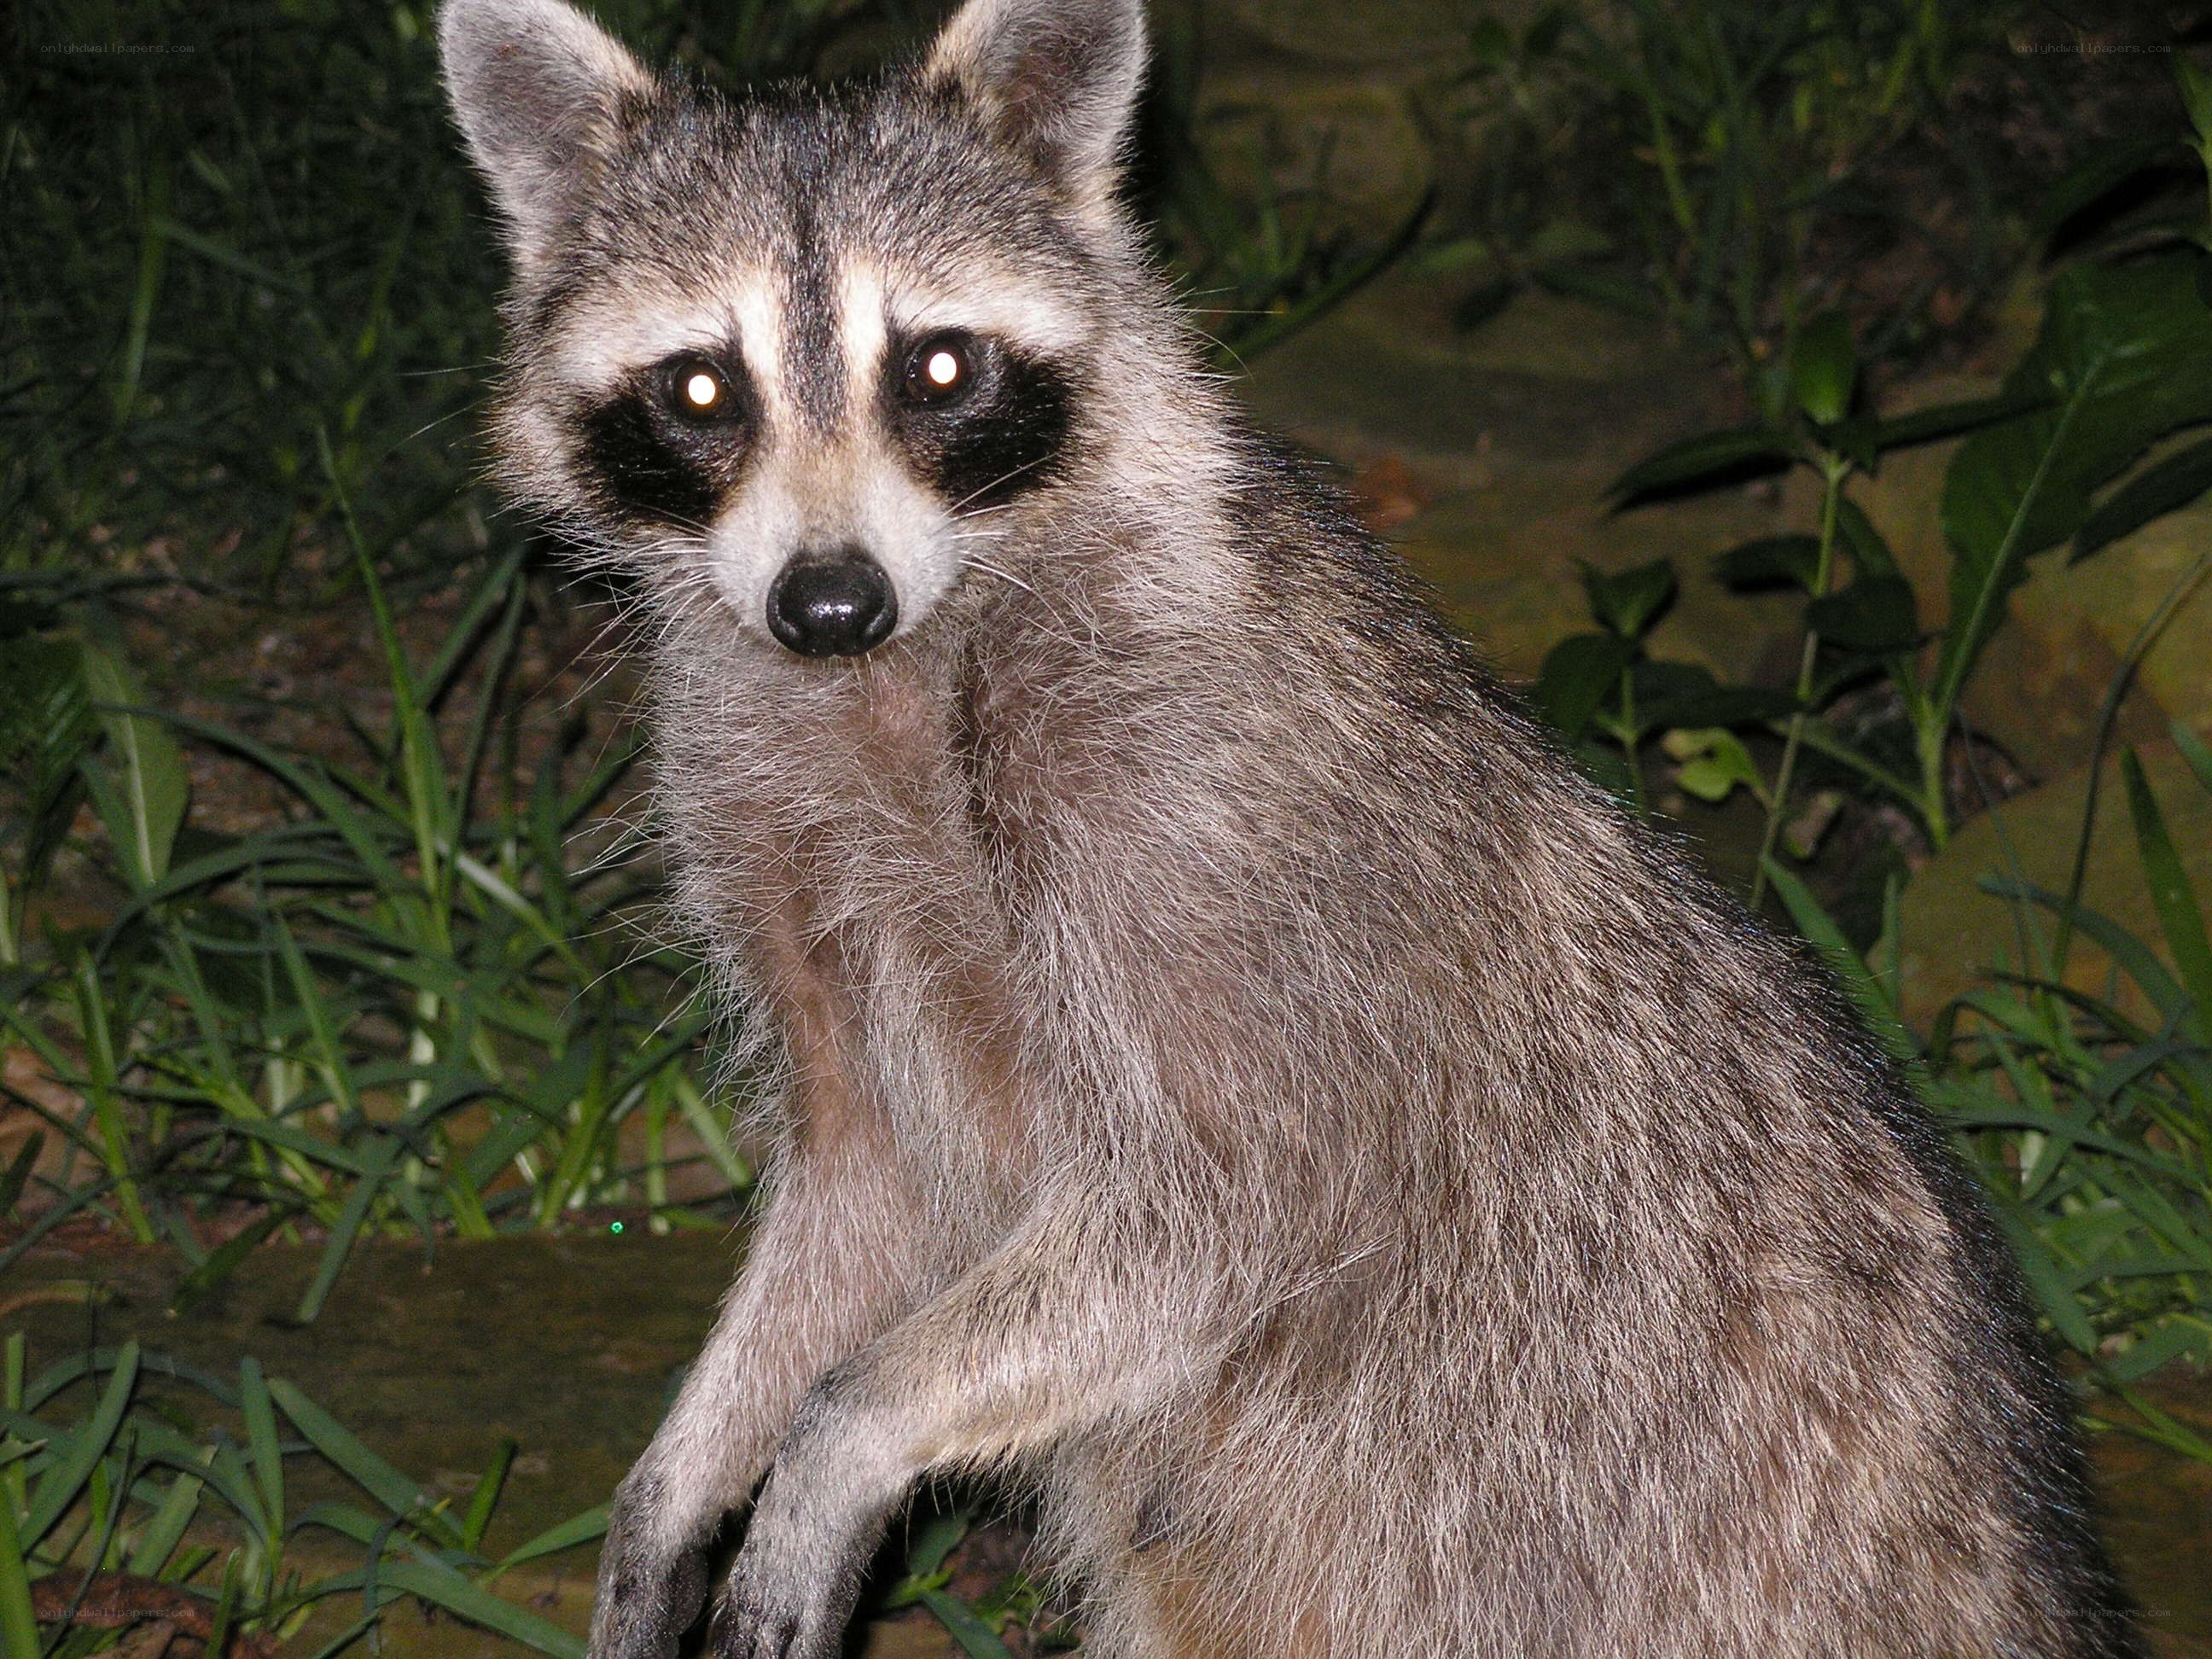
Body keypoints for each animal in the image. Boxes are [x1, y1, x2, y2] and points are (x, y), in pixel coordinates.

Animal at [437, 1, 2144, 1654]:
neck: (893, 666)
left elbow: (1234, 1195)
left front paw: (846, 1431)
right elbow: (865, 1186)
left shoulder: (1203, 813)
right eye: (702, 388)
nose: (828, 599)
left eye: (936, 369)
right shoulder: (769, 822)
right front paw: (691, 1471)